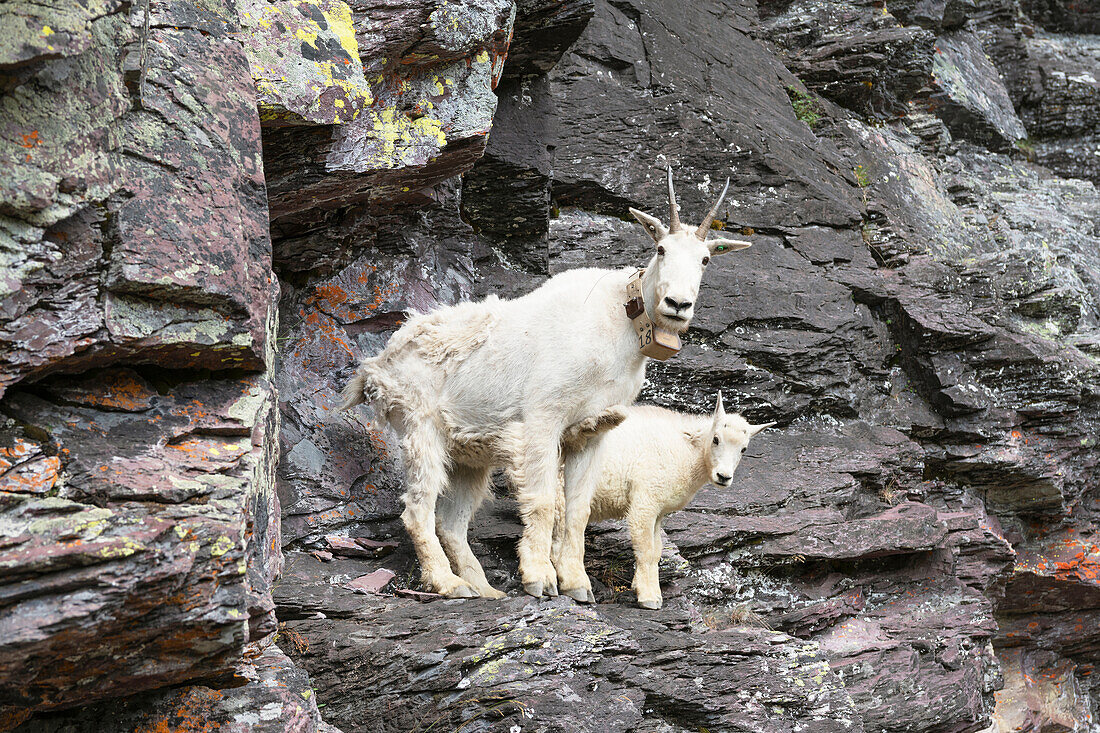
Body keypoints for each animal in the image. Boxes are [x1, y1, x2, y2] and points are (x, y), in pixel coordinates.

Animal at [338, 168, 752, 598]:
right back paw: (448, 583)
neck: (617, 329)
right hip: (420, 428)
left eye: (705, 259)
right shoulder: (542, 420)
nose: (677, 305)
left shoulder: (591, 432)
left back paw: (485, 589)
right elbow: (543, 500)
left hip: (469, 455)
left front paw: (576, 583)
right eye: (661, 249)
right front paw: (540, 578)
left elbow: (578, 508)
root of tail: (376, 367)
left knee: (451, 523)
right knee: (418, 509)